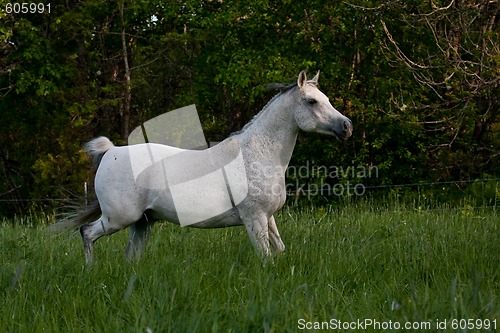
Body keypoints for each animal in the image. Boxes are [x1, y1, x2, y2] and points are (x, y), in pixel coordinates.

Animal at [53, 70, 352, 262]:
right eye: (312, 101)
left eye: (327, 99)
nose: (347, 126)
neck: (255, 155)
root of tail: (111, 151)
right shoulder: (253, 219)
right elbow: (266, 258)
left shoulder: (268, 218)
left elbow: (280, 251)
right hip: (119, 218)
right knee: (87, 233)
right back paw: (91, 271)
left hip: (142, 223)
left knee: (130, 257)